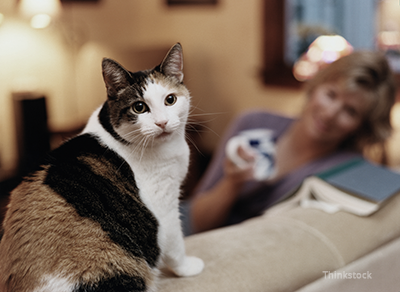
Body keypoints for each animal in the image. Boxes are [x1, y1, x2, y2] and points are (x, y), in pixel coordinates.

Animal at [0, 43, 205, 292]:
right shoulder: (164, 204)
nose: (162, 123)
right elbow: (175, 242)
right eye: (139, 107)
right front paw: (187, 268)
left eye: (170, 99)